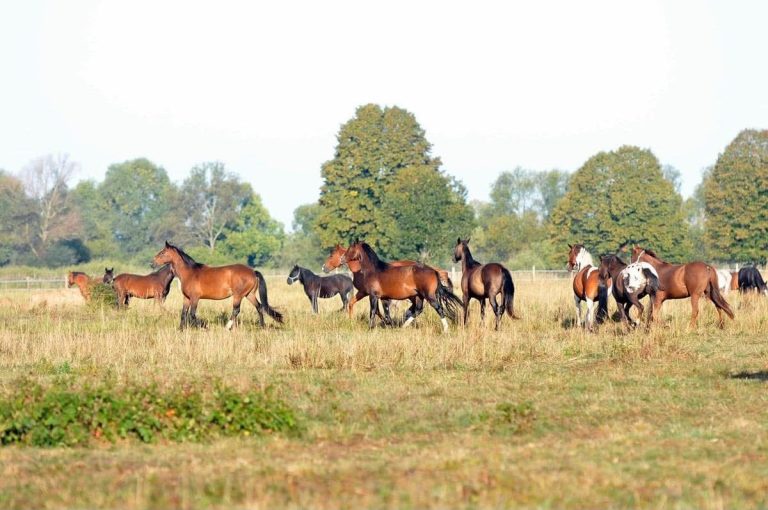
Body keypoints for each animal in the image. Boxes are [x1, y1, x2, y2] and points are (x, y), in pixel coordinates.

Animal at [152, 241, 282, 329]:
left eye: (163, 252)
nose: (152, 262)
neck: (189, 273)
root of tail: (252, 271)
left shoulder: (195, 298)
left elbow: (192, 315)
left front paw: (205, 327)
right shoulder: (186, 298)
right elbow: (184, 314)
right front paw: (180, 329)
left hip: (238, 296)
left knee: (236, 310)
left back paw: (227, 327)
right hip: (249, 294)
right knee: (259, 307)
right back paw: (262, 326)